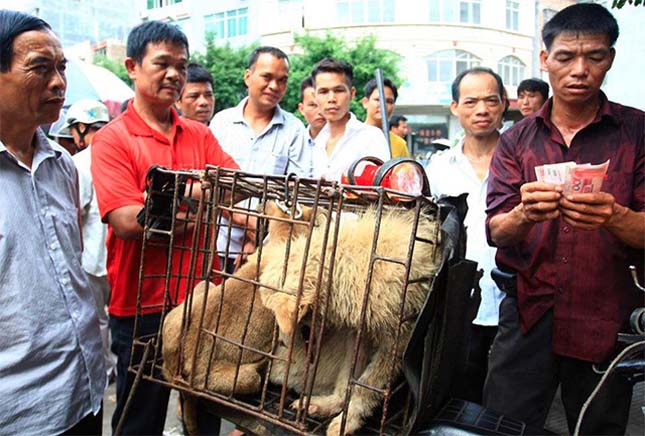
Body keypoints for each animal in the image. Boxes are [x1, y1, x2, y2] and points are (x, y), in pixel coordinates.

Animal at [260, 206, 440, 434]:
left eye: (302, 326)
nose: (283, 342)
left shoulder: (397, 343)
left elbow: (366, 386)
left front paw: (348, 420)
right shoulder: (359, 334)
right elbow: (348, 378)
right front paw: (332, 405)